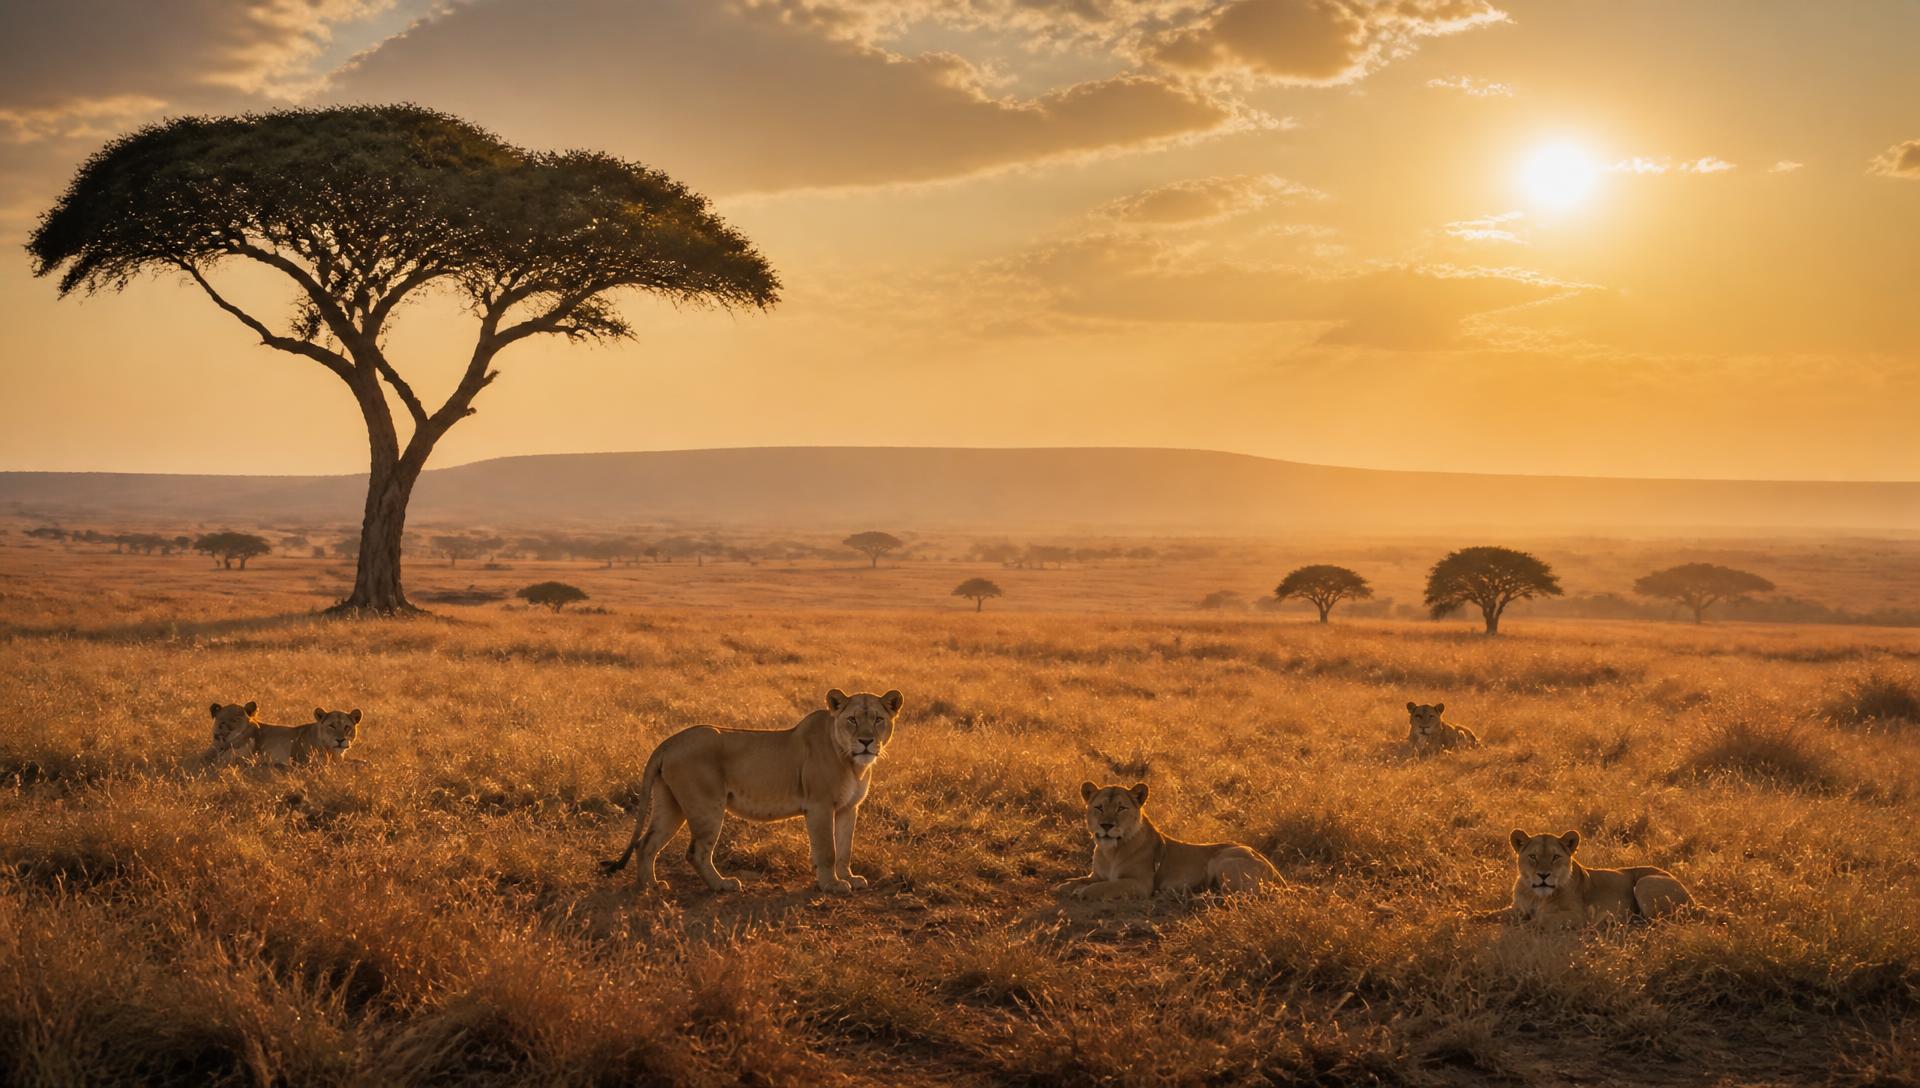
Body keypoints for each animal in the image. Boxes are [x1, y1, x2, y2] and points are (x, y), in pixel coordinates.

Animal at [599, 689, 903, 894]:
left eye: (878, 719)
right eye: (852, 720)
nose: (866, 742)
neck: (852, 763)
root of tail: (668, 741)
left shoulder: (848, 808)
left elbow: (845, 848)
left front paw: (849, 878)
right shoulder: (819, 805)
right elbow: (827, 849)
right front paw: (831, 885)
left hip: (670, 803)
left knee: (646, 844)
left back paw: (650, 886)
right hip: (706, 805)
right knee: (696, 851)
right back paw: (722, 885)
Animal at [1052, 782, 1282, 900]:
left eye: (1121, 808)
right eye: (1099, 807)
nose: (1106, 826)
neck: (1109, 852)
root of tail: (1273, 869)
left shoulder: (1140, 884)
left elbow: (1102, 887)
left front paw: (1081, 891)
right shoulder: (1096, 875)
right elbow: (1076, 882)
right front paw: (1065, 886)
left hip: (1223, 859)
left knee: (1243, 896)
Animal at [1506, 829, 1693, 927]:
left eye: (1555, 857)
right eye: (1533, 857)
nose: (1543, 875)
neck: (1536, 897)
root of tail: (1694, 901)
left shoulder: (1579, 916)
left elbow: (1540, 919)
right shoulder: (1517, 907)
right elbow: (1502, 913)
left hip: (1644, 883)